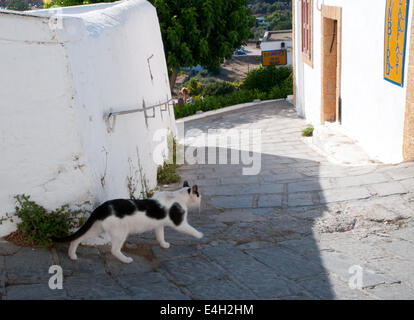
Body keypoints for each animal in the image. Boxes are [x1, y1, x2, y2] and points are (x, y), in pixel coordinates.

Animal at [51, 181, 202, 264]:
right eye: (198, 194)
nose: (201, 200)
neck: (177, 196)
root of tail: (103, 207)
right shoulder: (180, 224)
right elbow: (191, 230)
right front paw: (200, 235)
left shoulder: (158, 224)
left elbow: (160, 236)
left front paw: (163, 244)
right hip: (120, 232)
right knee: (114, 250)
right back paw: (126, 260)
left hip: (97, 229)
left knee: (77, 238)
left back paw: (72, 255)